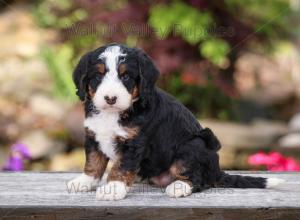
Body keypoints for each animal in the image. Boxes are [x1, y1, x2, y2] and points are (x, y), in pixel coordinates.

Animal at [67, 43, 284, 201]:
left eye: (126, 76)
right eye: (98, 75)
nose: (110, 98)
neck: (113, 113)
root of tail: (217, 171)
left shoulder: (133, 143)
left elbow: (121, 167)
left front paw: (112, 188)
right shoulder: (93, 136)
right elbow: (93, 163)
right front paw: (84, 182)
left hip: (193, 145)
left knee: (198, 180)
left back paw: (179, 187)